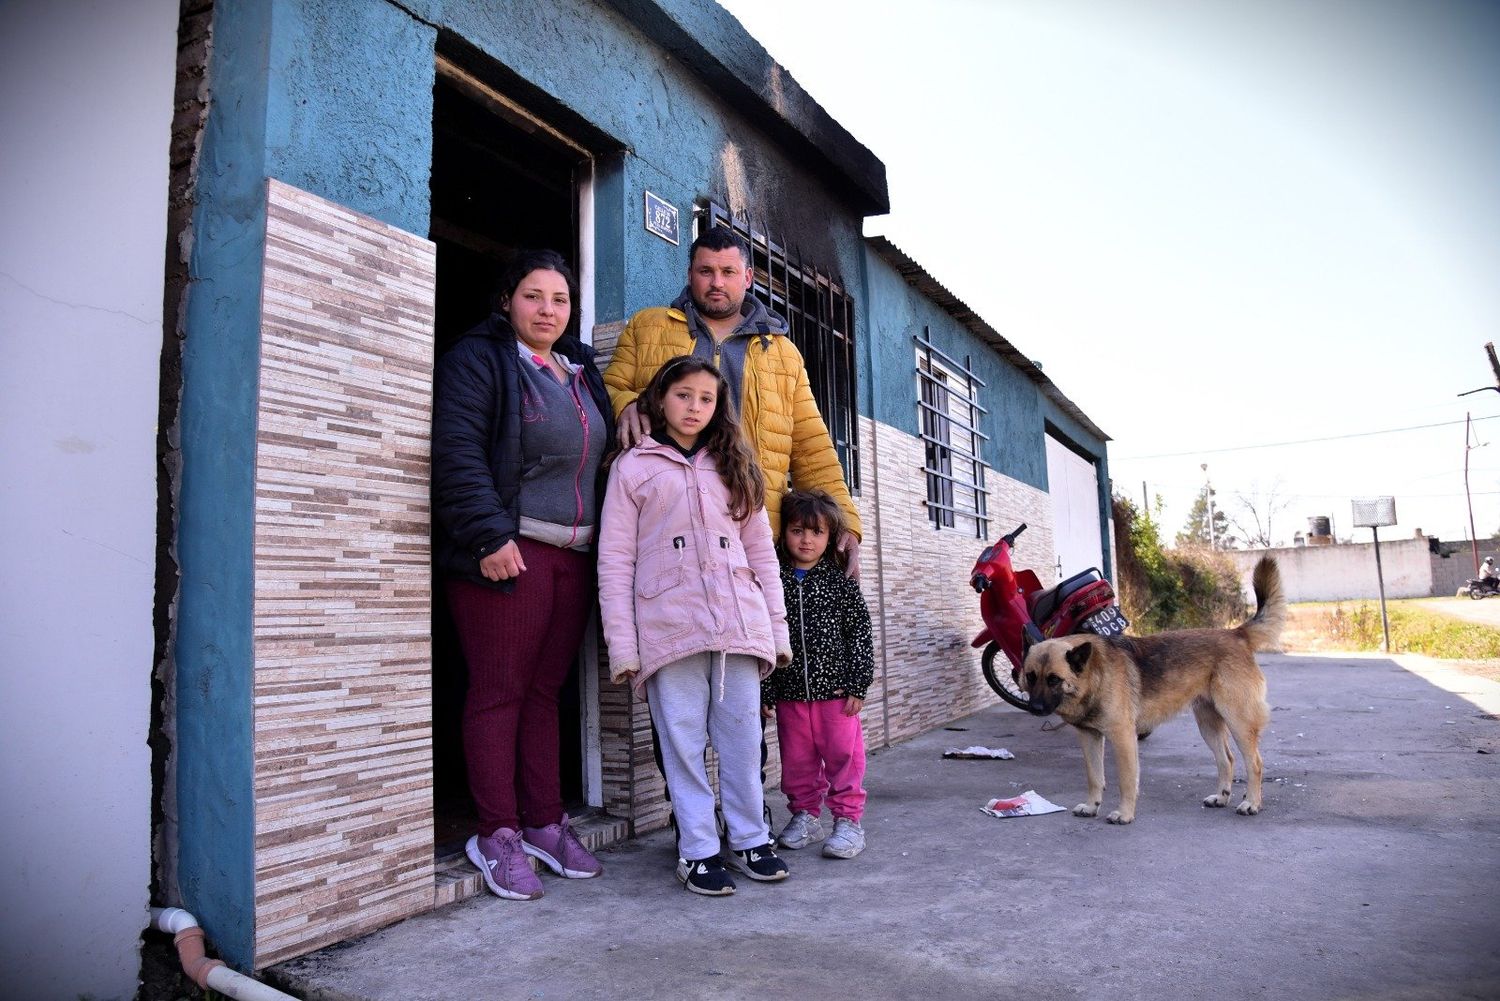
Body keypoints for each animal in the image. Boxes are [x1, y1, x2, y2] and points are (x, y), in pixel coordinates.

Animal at [1020, 561, 1290, 828]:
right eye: (1031, 676)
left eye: (1054, 679)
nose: (1035, 708)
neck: (1095, 673)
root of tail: (1236, 634)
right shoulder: (1090, 739)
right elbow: (1094, 777)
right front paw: (1091, 806)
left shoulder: (1123, 739)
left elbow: (1126, 781)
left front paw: (1124, 814)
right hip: (1208, 726)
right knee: (1227, 759)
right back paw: (1222, 797)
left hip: (1238, 722)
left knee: (1255, 763)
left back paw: (1252, 803)